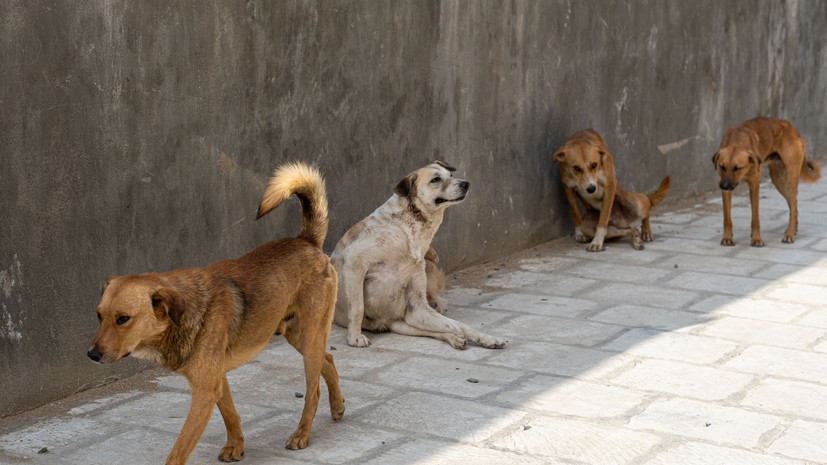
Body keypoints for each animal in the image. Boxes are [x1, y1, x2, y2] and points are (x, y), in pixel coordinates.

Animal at [90, 163, 346, 464]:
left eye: (123, 319)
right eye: (99, 316)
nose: (91, 355)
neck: (183, 318)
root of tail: (307, 242)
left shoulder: (203, 391)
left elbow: (178, 450)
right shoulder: (214, 380)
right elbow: (230, 413)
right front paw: (236, 446)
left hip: (310, 335)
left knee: (313, 389)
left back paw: (302, 434)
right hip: (296, 335)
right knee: (328, 360)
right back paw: (338, 407)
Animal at [330, 160, 504, 348]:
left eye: (451, 175)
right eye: (435, 180)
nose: (466, 183)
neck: (410, 229)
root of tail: (385, 321)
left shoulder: (417, 308)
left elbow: (459, 325)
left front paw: (487, 338)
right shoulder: (354, 261)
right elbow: (358, 307)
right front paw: (354, 337)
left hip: (408, 321)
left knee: (443, 328)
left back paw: (457, 338)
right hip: (404, 323)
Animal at [712, 117, 820, 246]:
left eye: (737, 168)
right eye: (722, 167)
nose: (723, 186)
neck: (738, 138)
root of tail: (790, 126)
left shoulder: (754, 186)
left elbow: (755, 218)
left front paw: (756, 239)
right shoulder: (726, 190)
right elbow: (727, 218)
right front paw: (727, 237)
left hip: (791, 179)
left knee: (794, 205)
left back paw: (789, 234)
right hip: (778, 180)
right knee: (793, 204)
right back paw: (793, 229)